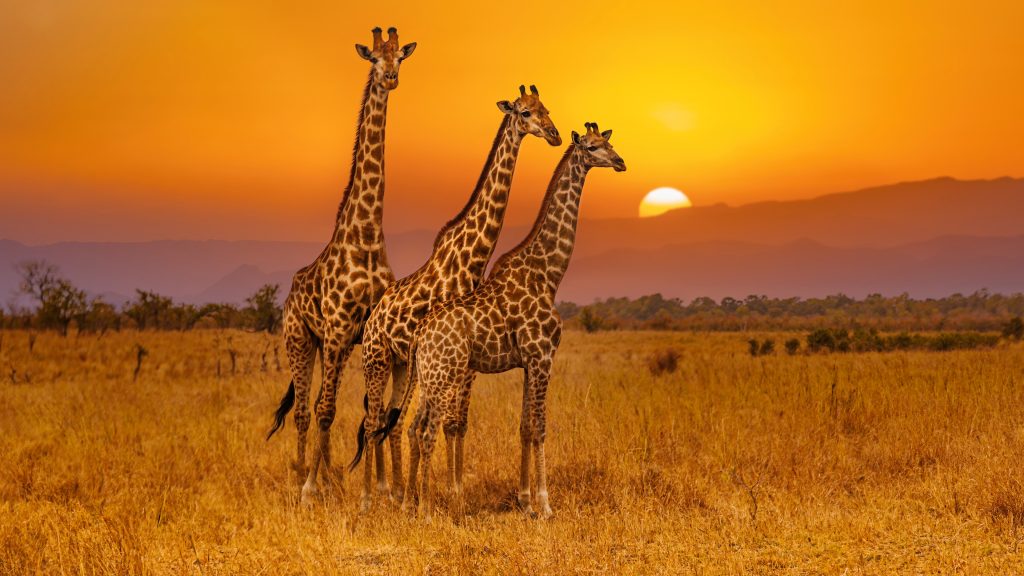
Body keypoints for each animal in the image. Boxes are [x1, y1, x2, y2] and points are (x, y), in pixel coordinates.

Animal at [264, 27, 416, 505]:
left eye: (400, 58)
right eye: (374, 58)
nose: (390, 78)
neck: (366, 235)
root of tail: (290, 293)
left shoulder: (365, 331)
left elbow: (374, 410)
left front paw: (381, 487)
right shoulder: (334, 328)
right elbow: (328, 409)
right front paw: (310, 487)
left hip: (336, 345)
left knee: (318, 405)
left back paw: (329, 473)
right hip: (300, 340)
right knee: (306, 409)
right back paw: (303, 475)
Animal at [348, 85, 561, 511]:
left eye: (546, 109)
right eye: (526, 112)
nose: (554, 134)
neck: (469, 259)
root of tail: (373, 317)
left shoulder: (469, 360)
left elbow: (458, 423)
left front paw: (452, 490)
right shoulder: (456, 357)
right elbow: (446, 423)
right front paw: (448, 494)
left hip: (401, 365)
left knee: (390, 423)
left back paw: (395, 491)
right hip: (376, 360)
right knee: (375, 420)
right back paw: (370, 497)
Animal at [392, 122, 625, 521]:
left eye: (608, 143)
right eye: (594, 147)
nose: (621, 161)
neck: (548, 274)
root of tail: (420, 333)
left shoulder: (528, 362)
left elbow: (524, 427)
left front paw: (524, 500)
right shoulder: (543, 355)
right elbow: (541, 427)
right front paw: (545, 505)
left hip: (428, 375)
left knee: (414, 428)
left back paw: (410, 504)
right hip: (443, 375)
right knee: (424, 430)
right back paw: (425, 509)